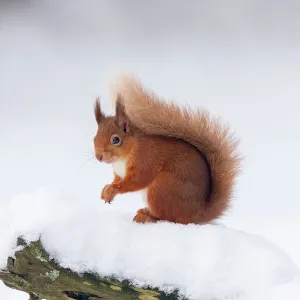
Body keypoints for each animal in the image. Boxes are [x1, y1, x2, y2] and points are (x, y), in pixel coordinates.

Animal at [92, 76, 240, 224]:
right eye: (95, 137)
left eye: (116, 139)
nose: (99, 157)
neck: (123, 158)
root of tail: (196, 214)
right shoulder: (119, 174)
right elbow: (117, 180)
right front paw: (106, 189)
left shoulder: (145, 159)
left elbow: (137, 180)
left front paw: (113, 189)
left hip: (162, 188)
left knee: (167, 217)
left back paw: (147, 216)